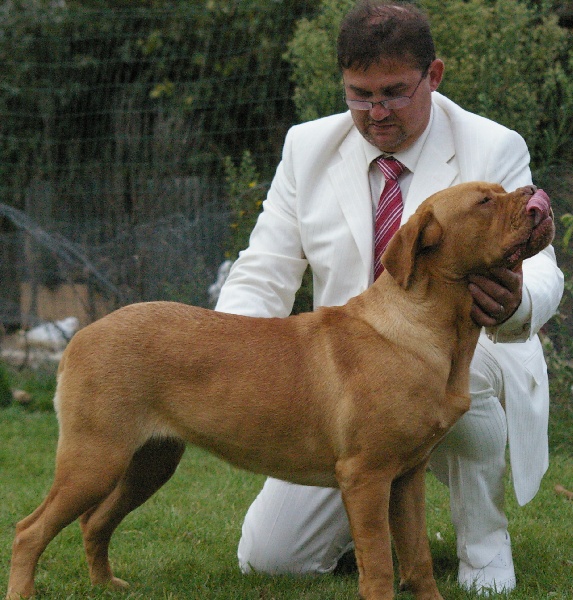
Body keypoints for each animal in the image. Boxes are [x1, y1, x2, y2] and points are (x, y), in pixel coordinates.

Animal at [5, 183, 556, 600]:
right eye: (484, 201)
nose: (534, 190)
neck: (433, 330)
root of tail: (80, 336)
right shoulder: (367, 476)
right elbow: (380, 564)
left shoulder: (407, 477)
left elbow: (417, 559)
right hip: (94, 458)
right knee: (30, 530)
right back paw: (26, 591)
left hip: (149, 461)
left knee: (94, 523)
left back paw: (105, 585)